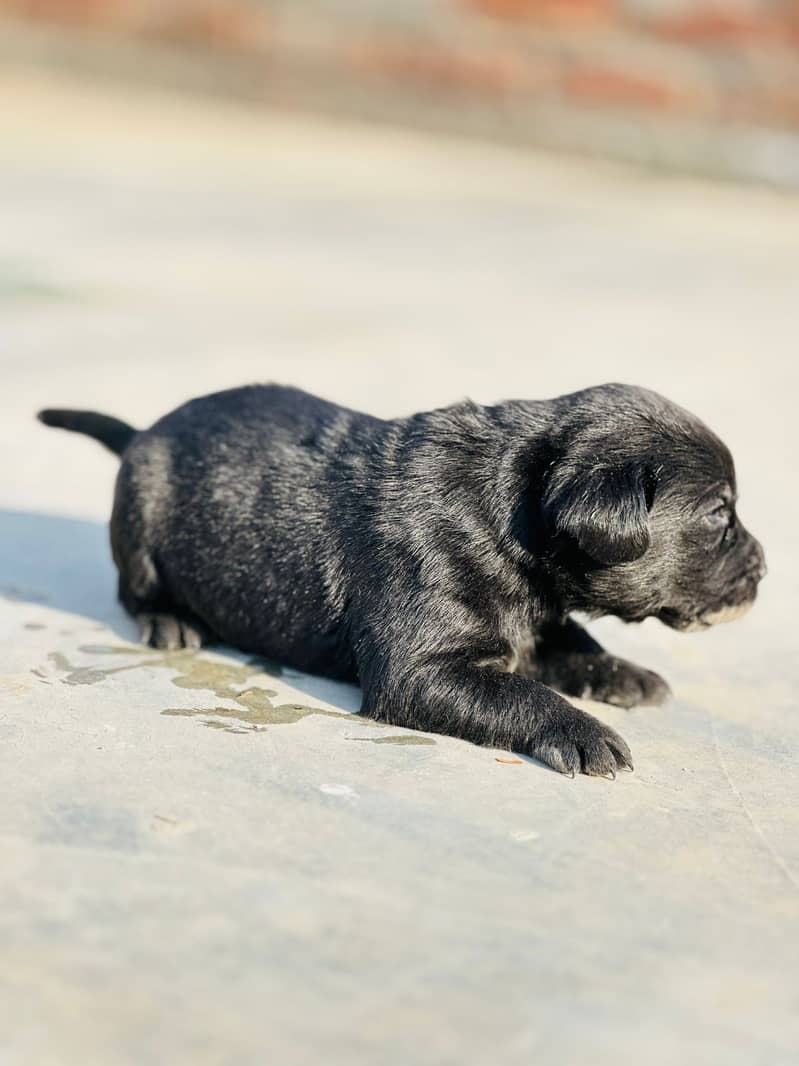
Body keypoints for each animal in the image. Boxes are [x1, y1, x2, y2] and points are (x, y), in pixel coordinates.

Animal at [40, 383, 767, 776]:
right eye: (718, 514)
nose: (763, 567)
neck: (508, 508)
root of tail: (142, 432)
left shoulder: (539, 617)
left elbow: (574, 645)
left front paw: (626, 675)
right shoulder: (420, 671)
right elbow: (520, 692)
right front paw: (585, 733)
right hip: (141, 512)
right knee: (135, 586)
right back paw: (170, 620)